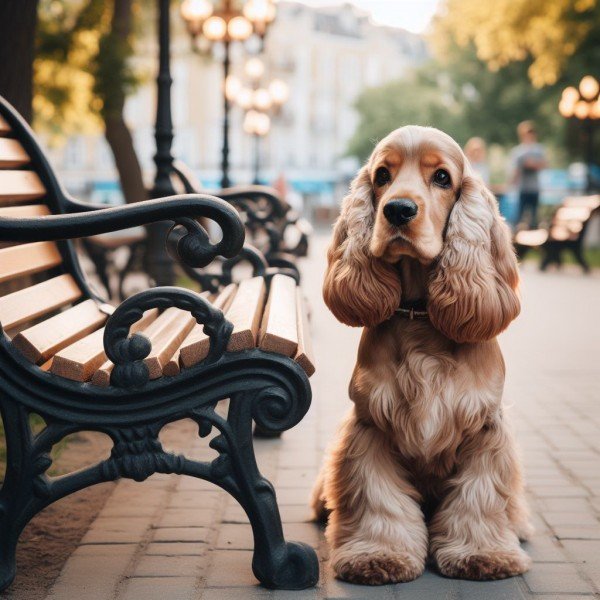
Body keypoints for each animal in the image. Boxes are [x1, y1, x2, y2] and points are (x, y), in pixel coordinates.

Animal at [312, 125, 532, 584]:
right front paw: (378, 555)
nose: (397, 210)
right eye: (382, 175)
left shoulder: (485, 429)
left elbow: (481, 496)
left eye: (443, 178)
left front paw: (483, 553)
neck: (419, 314)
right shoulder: (370, 425)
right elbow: (378, 498)